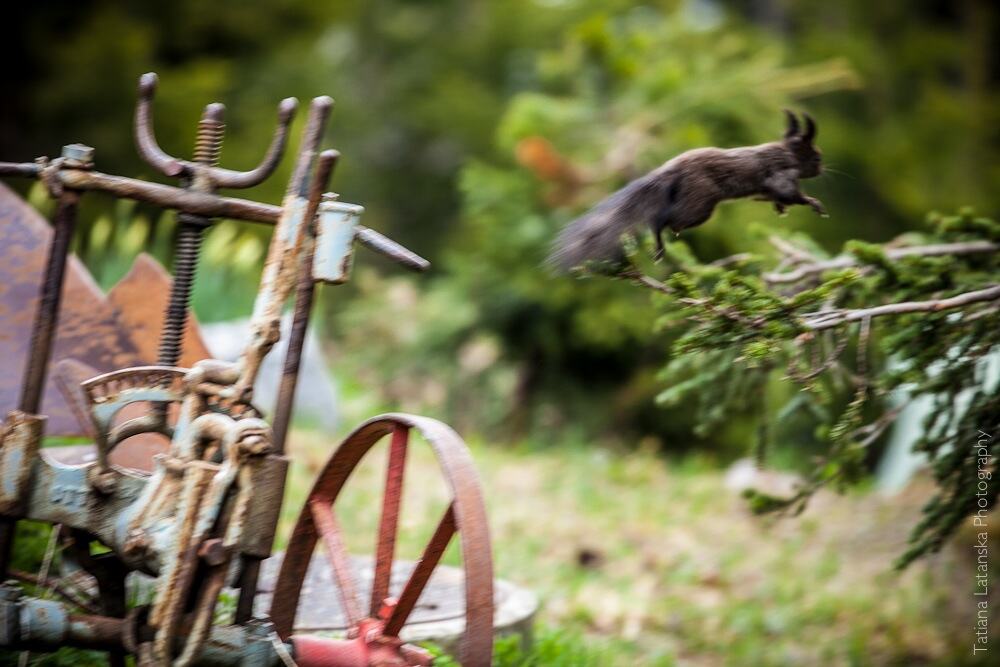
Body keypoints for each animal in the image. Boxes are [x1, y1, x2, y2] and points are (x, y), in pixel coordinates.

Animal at [548, 110, 826, 271]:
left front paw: (780, 208)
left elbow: (774, 196)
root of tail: (671, 169)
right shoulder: (781, 174)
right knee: (661, 219)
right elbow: (789, 192)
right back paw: (659, 242)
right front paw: (814, 203)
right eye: (815, 156)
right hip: (699, 205)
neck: (787, 153)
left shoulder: (769, 186)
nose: (822, 168)